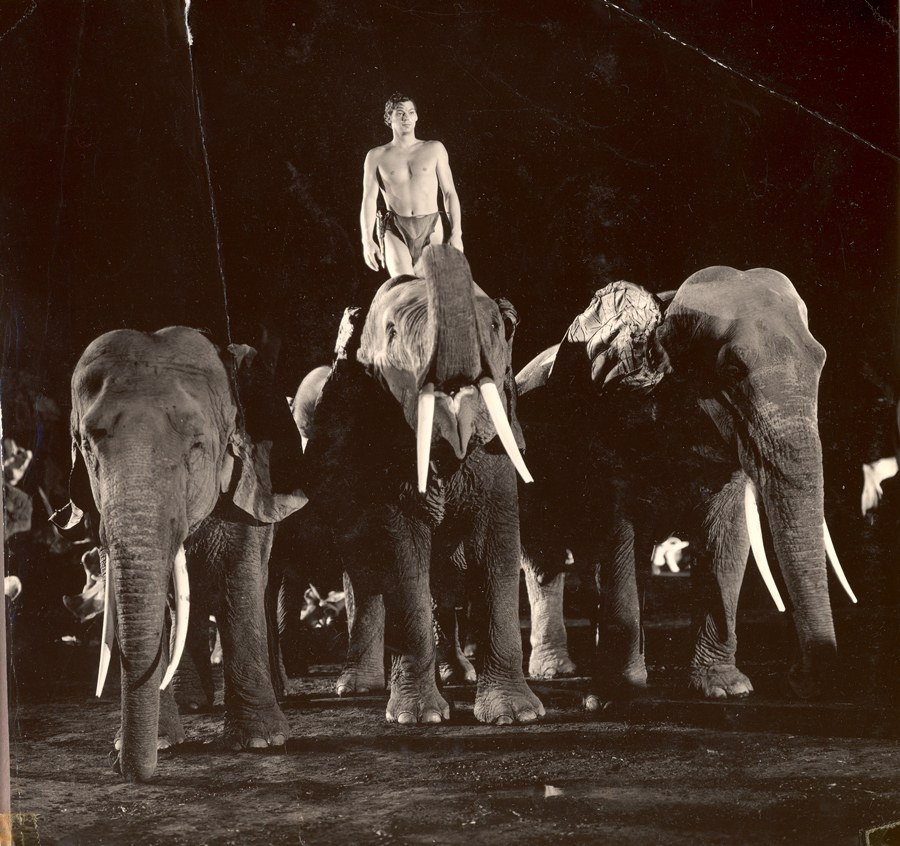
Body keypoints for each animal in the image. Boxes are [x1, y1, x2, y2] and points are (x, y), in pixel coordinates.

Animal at [51, 326, 307, 781]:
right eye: (87, 447)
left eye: (197, 446)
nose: (122, 769)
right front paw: (155, 744)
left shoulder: (247, 482)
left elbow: (239, 582)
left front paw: (261, 743)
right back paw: (190, 704)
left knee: (259, 586)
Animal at [302, 244, 544, 725]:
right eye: (392, 332)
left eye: (495, 327)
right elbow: (402, 554)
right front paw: (418, 718)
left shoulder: (498, 449)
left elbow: (496, 549)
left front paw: (517, 716)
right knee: (365, 579)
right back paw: (359, 687)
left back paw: (456, 676)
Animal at [517, 268, 857, 705]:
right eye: (732, 371)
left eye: (821, 362)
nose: (802, 681)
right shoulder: (611, 416)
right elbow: (617, 532)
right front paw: (618, 696)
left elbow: (727, 538)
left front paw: (726, 689)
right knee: (545, 557)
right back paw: (557, 671)